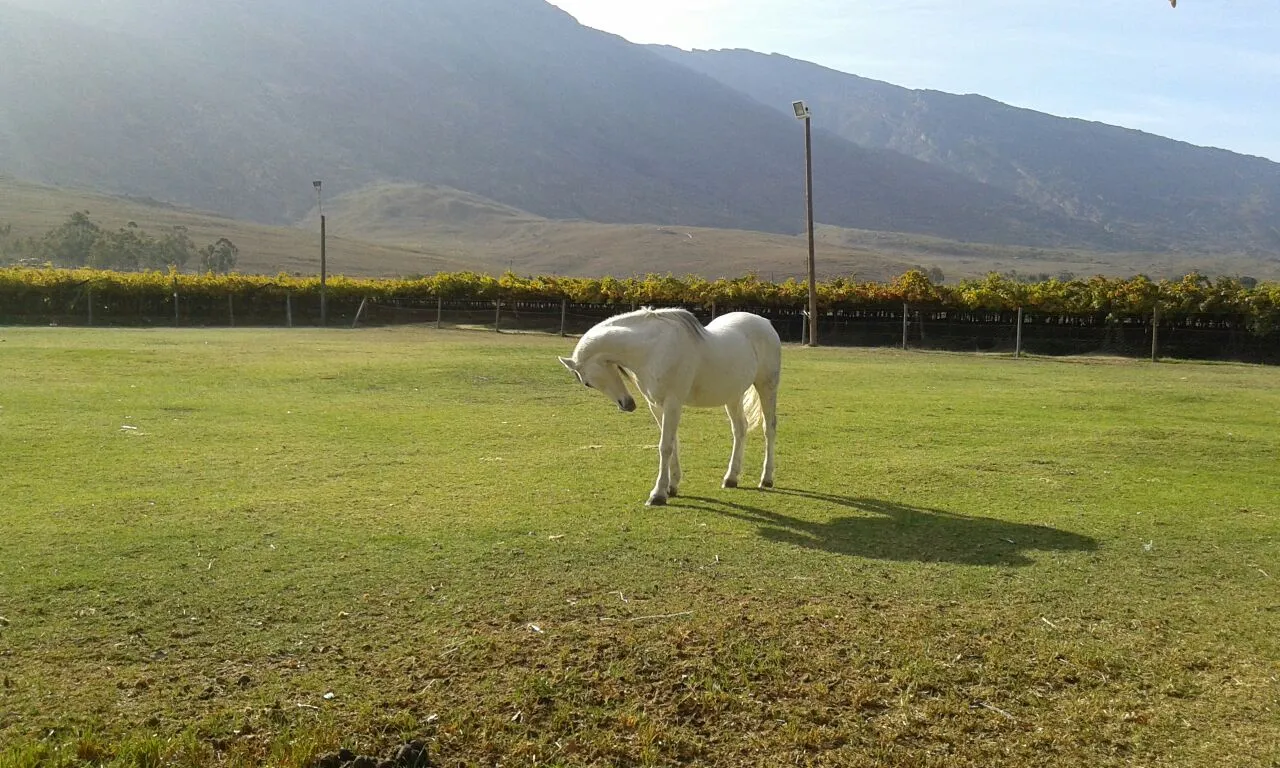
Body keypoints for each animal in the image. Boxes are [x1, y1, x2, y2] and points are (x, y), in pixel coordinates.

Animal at [558, 307, 781, 506]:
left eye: (587, 382)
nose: (627, 405)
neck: (652, 350)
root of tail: (765, 323)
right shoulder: (656, 405)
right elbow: (672, 443)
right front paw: (672, 487)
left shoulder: (672, 403)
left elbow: (665, 446)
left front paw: (657, 495)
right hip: (733, 396)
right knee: (740, 430)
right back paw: (731, 478)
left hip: (767, 387)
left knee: (768, 429)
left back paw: (766, 479)